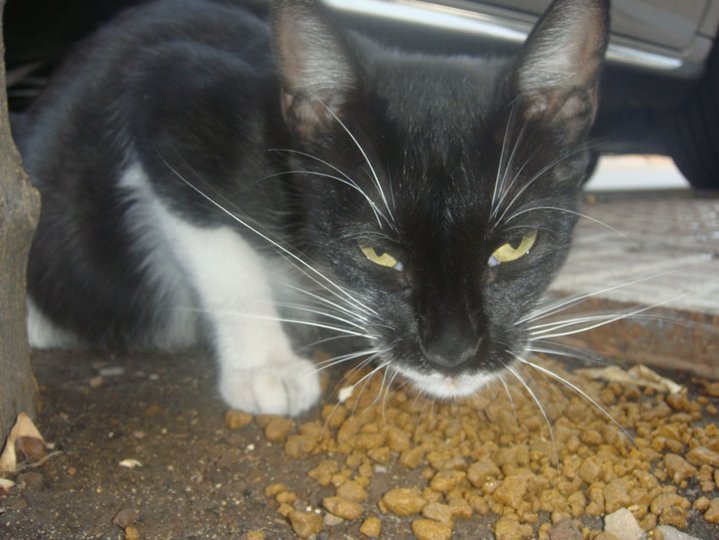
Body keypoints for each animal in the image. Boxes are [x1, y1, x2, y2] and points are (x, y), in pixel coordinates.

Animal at [16, 0, 608, 416]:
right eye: (377, 253)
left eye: (516, 245)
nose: (452, 354)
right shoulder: (168, 105)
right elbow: (218, 251)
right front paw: (266, 367)